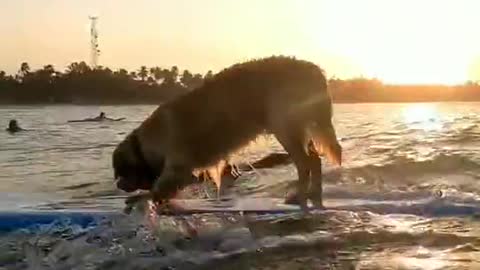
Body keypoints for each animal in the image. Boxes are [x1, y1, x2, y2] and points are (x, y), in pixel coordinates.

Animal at [112, 56, 342, 210]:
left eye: (120, 171)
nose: (118, 185)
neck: (148, 141)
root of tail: (314, 69)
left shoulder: (178, 165)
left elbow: (158, 187)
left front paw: (142, 199)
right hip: (299, 127)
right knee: (315, 160)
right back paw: (314, 192)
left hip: (285, 126)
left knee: (305, 163)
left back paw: (300, 194)